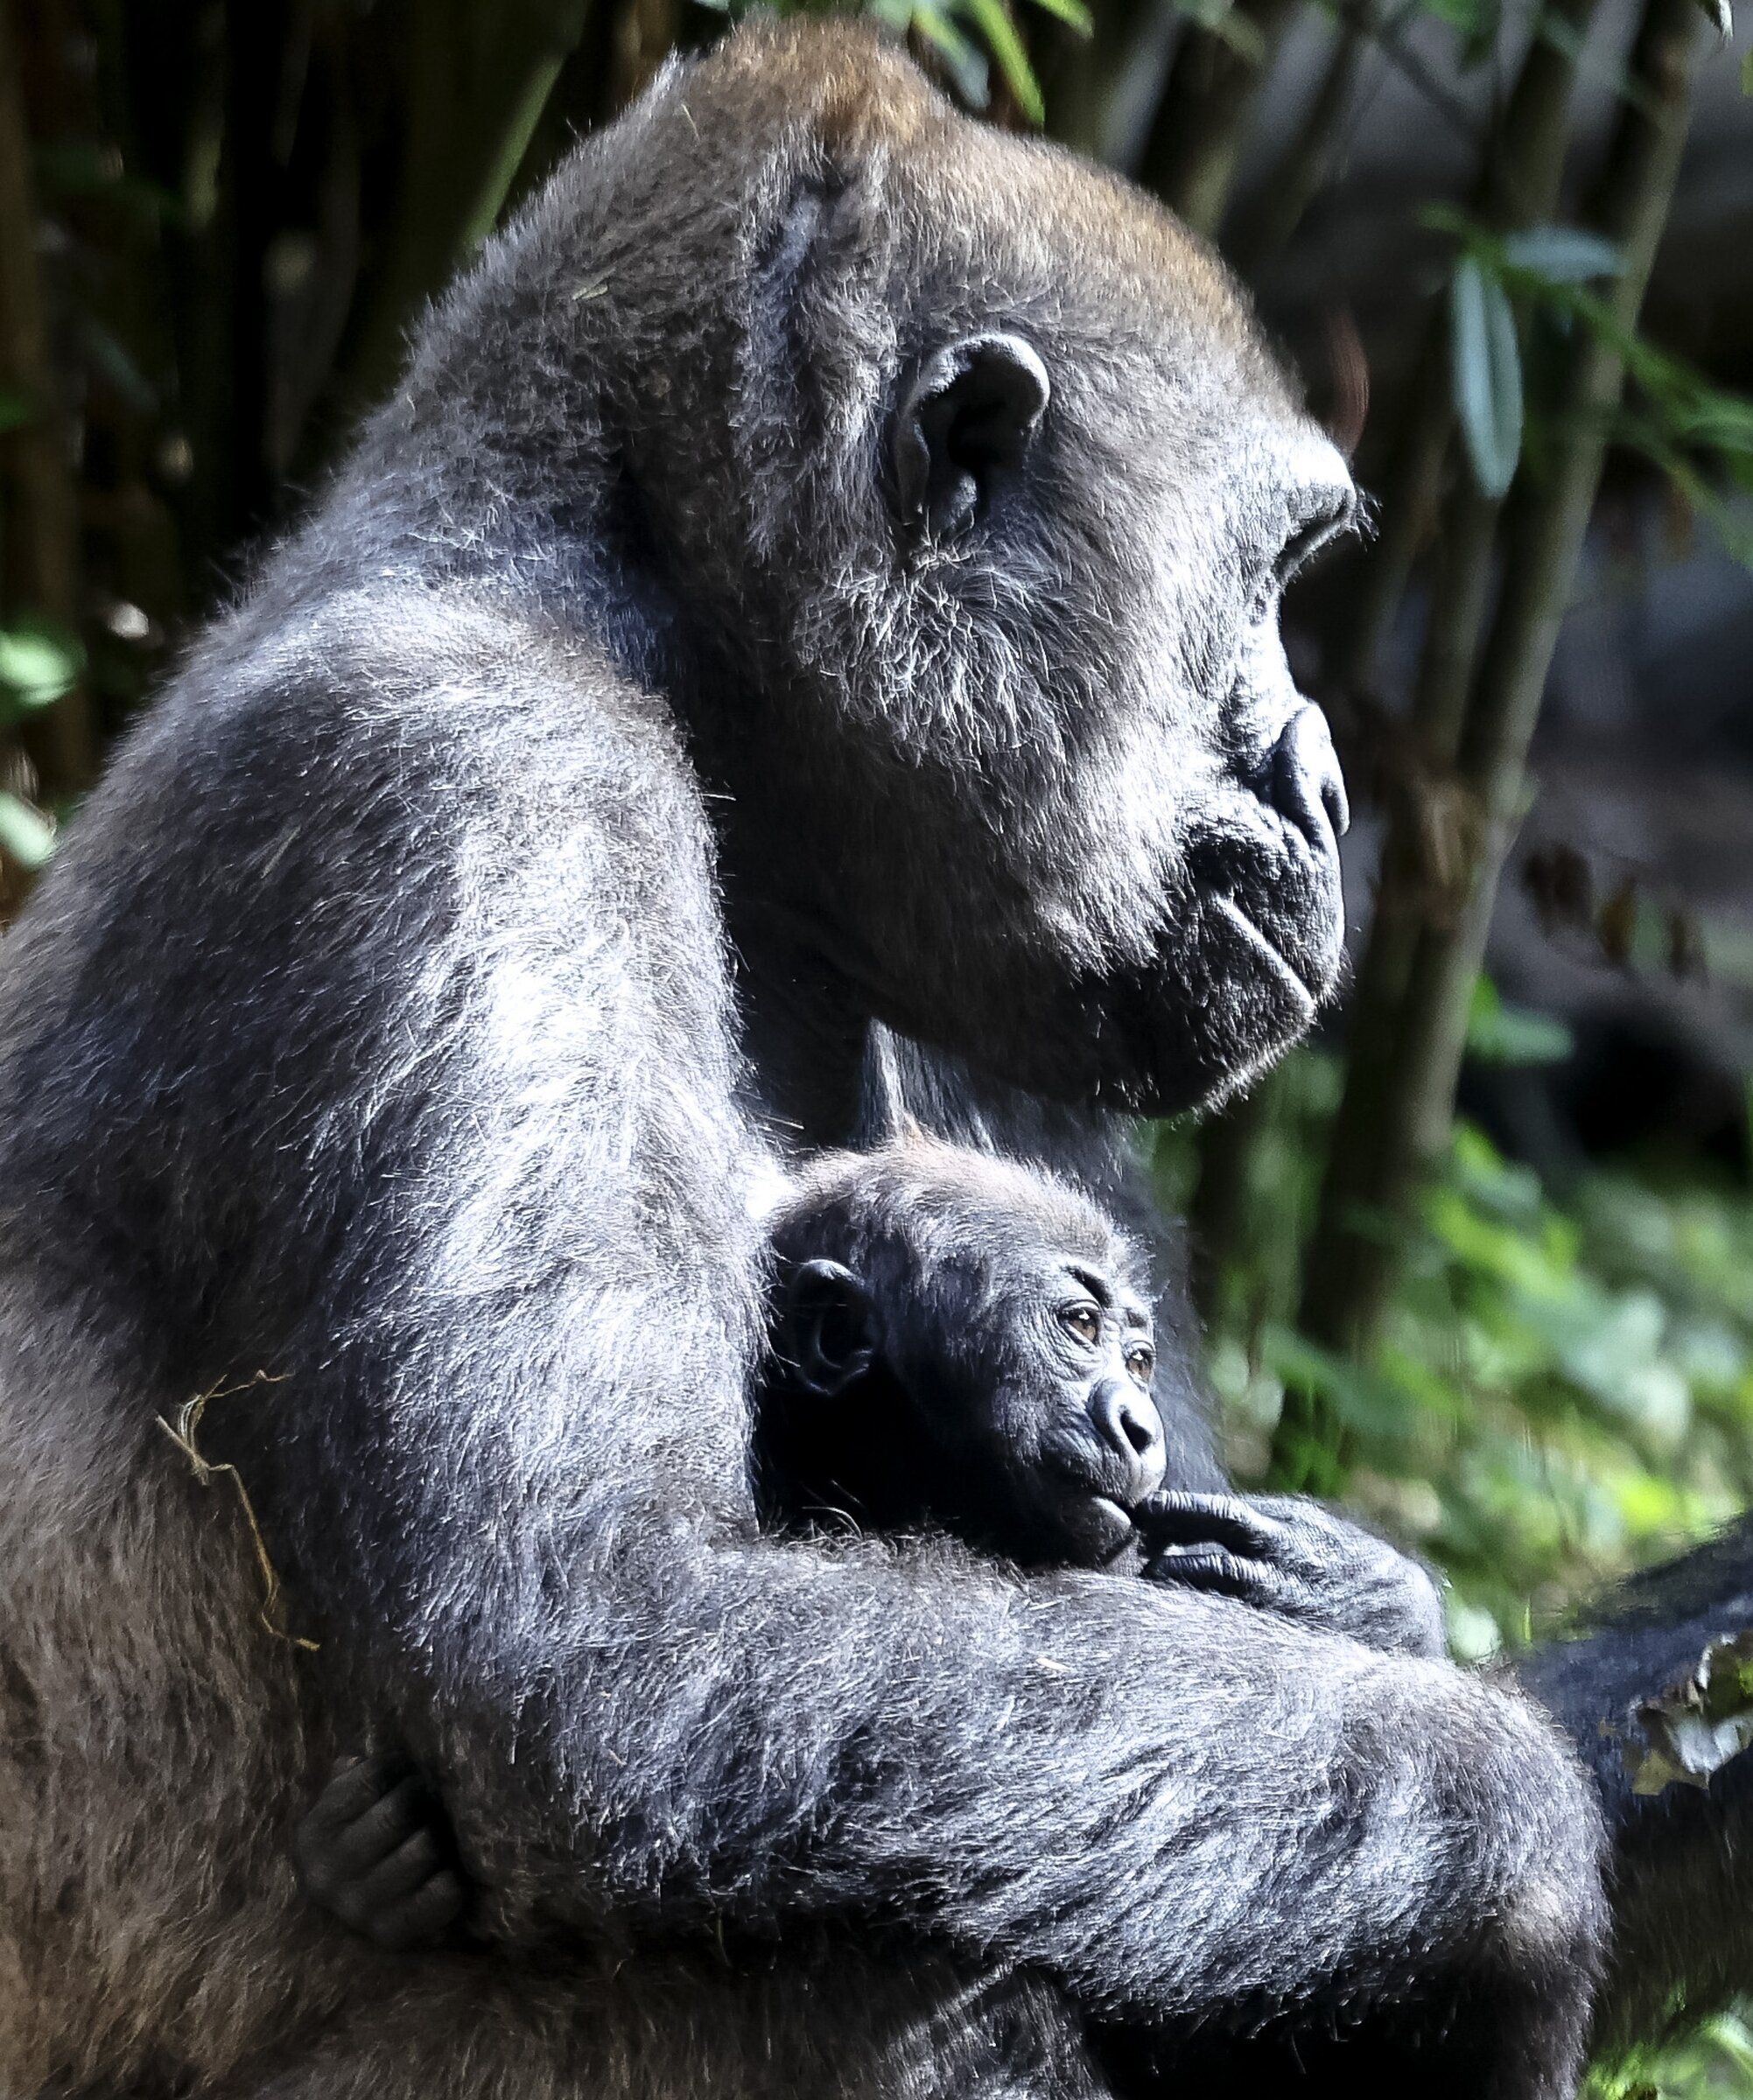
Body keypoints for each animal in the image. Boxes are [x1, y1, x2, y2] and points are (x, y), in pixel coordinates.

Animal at [0, 18, 1609, 2100]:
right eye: (1257, 587)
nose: (1329, 790)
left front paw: (1366, 1610)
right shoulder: (470, 777)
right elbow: (605, 1652)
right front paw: (1501, 1824)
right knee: (919, 1988)